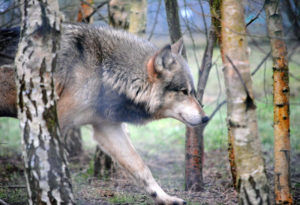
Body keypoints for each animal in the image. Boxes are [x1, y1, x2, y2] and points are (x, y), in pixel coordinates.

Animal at [0, 24, 209, 205]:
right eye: (184, 92)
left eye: (192, 92)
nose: (206, 118)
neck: (103, 71)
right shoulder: (55, 122)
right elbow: (51, 167)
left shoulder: (107, 128)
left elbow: (141, 167)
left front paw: (165, 198)